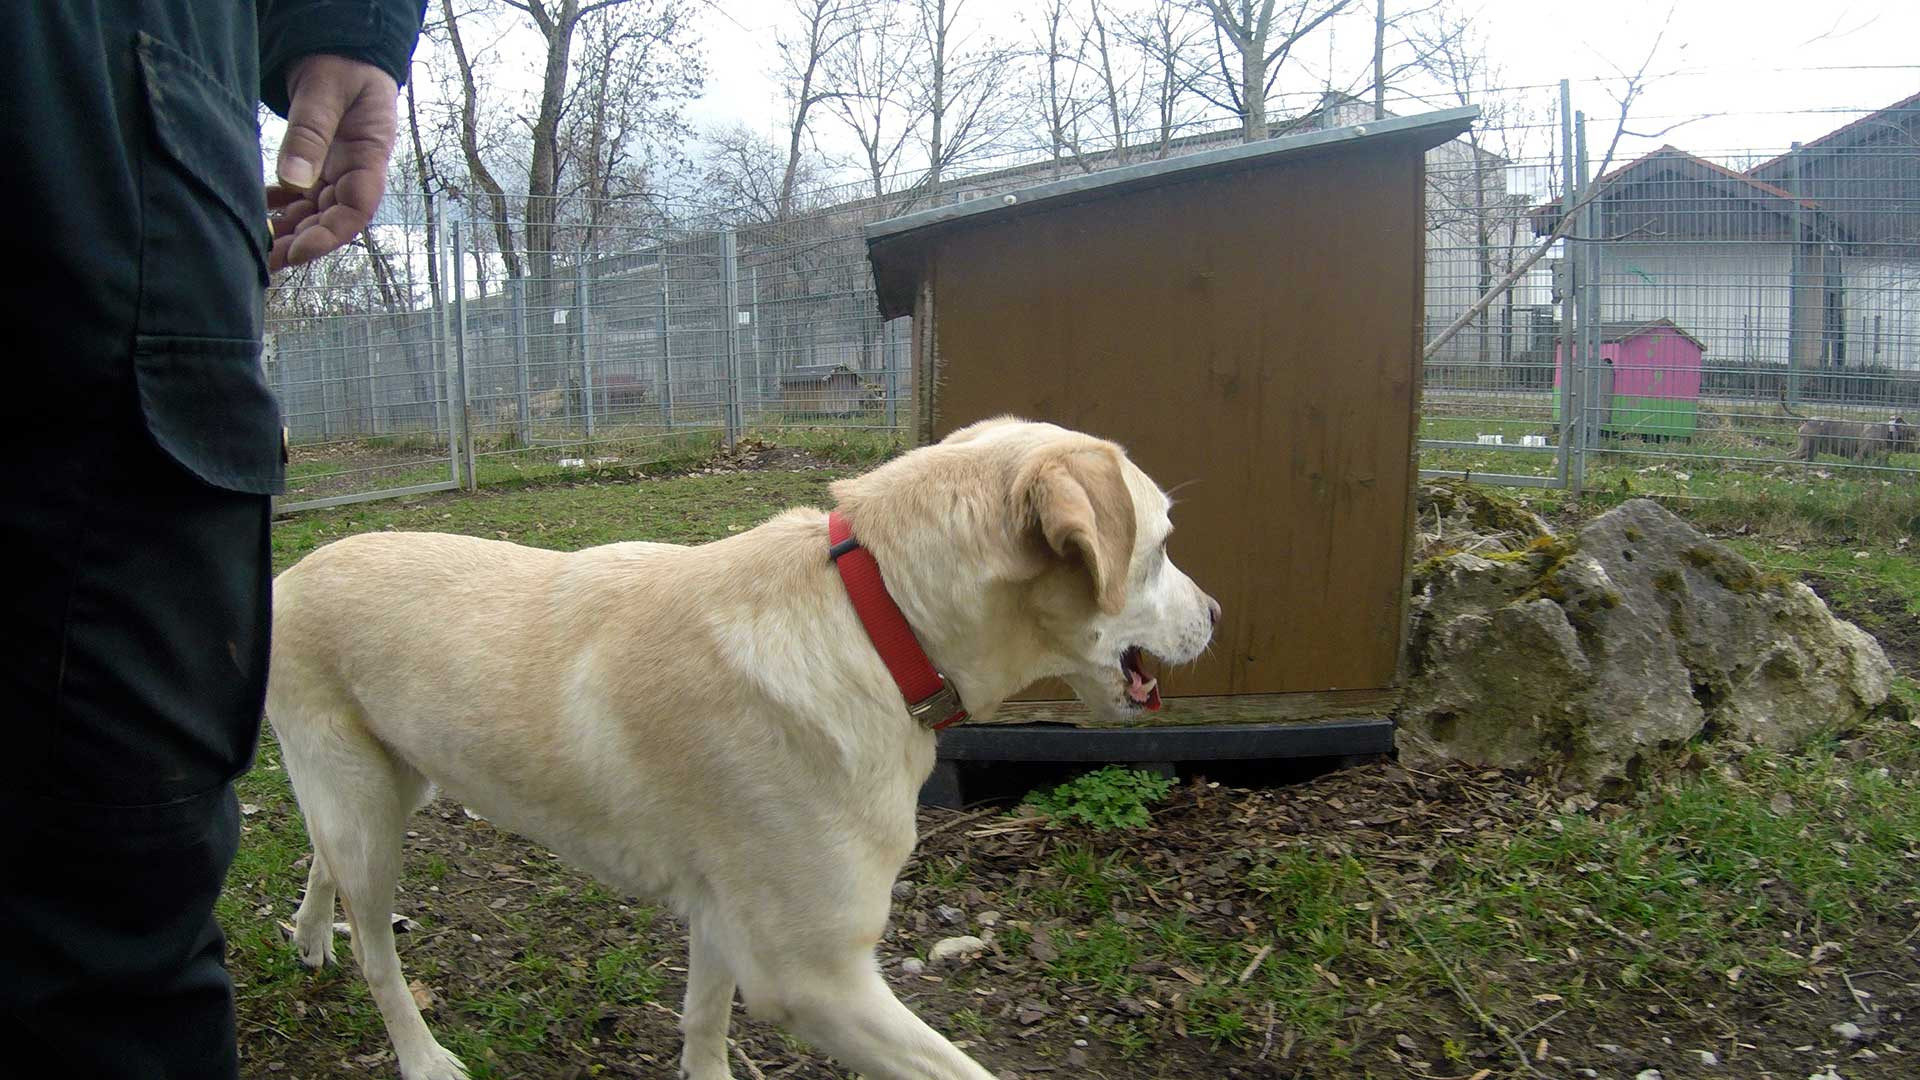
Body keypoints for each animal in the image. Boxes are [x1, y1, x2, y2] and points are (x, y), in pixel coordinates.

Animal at [266, 417, 1219, 1080]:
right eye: (1163, 546)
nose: (1216, 615)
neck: (873, 622)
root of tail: (292, 571)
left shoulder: (724, 914)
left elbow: (703, 1022)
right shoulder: (814, 979)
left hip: (394, 787)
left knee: (320, 859)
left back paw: (309, 935)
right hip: (367, 815)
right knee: (376, 951)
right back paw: (420, 1053)